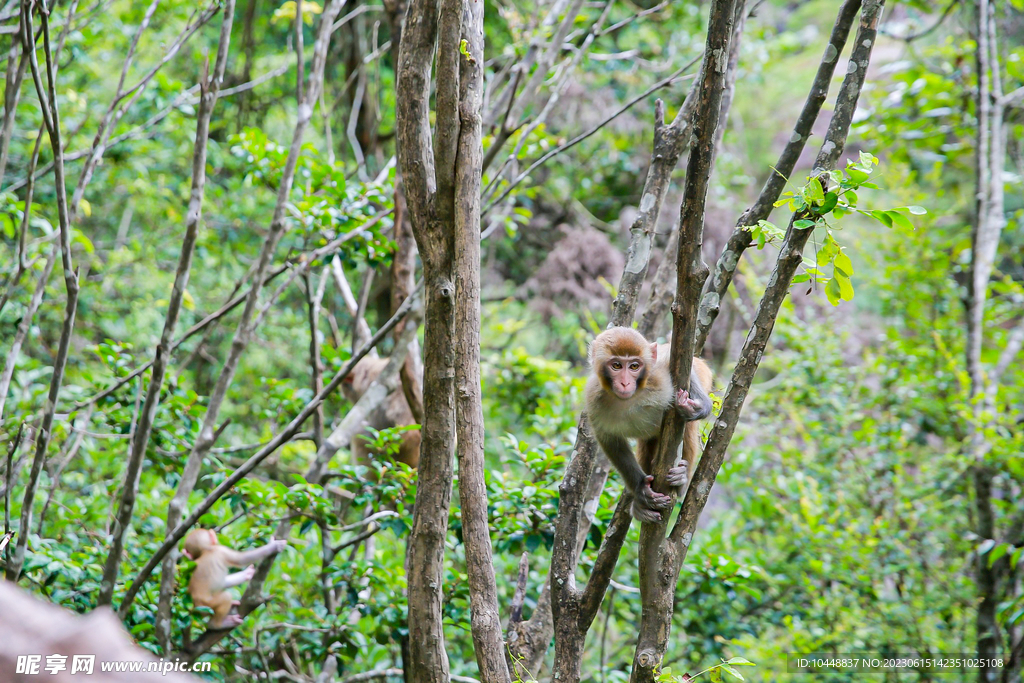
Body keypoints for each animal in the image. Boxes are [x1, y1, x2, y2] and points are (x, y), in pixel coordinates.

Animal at [585, 325, 712, 524]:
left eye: (634, 366)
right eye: (616, 365)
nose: (625, 383)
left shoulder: (658, 374)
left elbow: (671, 361)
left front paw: (700, 406)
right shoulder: (593, 398)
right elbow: (609, 439)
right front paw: (640, 488)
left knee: (688, 428)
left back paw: (681, 481)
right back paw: (639, 508)